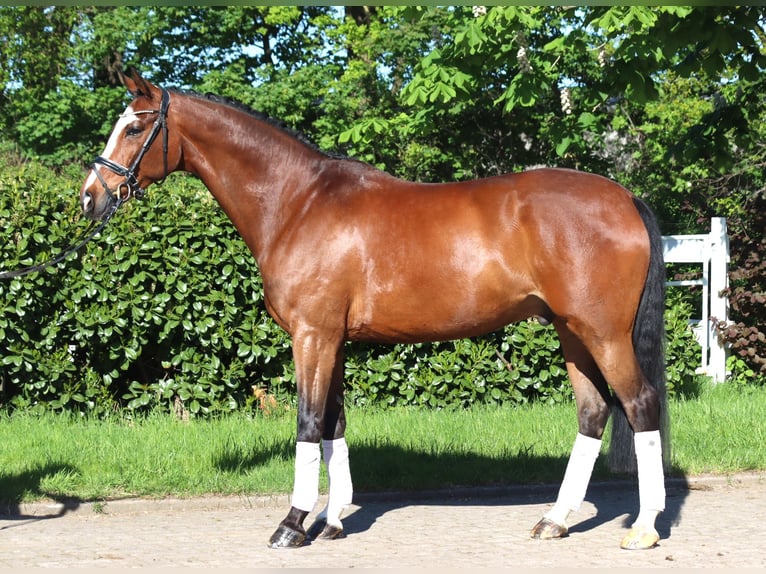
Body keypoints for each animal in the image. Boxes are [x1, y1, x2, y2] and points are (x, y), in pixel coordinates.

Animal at [80, 68, 669, 551]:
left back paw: (643, 528)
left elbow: (308, 421)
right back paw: (556, 520)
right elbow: (334, 423)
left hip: (603, 333)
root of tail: (624, 198)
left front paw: (292, 524)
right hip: (572, 332)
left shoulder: (311, 335)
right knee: (593, 412)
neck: (298, 203)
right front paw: (332, 520)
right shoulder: (333, 339)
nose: (90, 197)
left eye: (133, 129)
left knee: (640, 405)